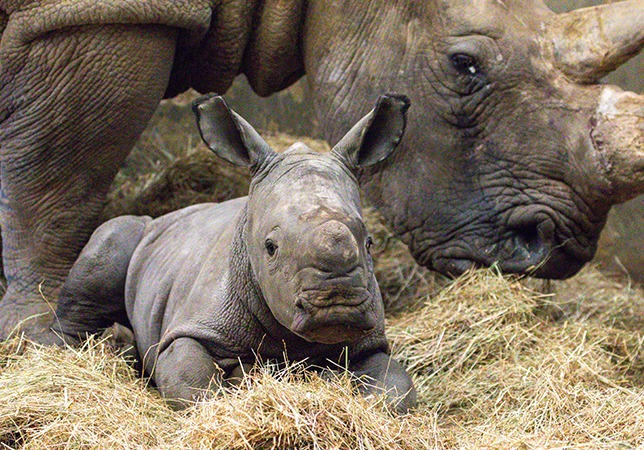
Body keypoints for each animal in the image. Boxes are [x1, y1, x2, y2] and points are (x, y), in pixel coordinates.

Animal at [52, 94, 417, 413]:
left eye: (369, 243)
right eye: (270, 248)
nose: (338, 303)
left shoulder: (368, 343)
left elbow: (397, 389)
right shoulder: (191, 328)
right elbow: (193, 384)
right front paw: (235, 386)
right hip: (140, 234)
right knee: (112, 239)